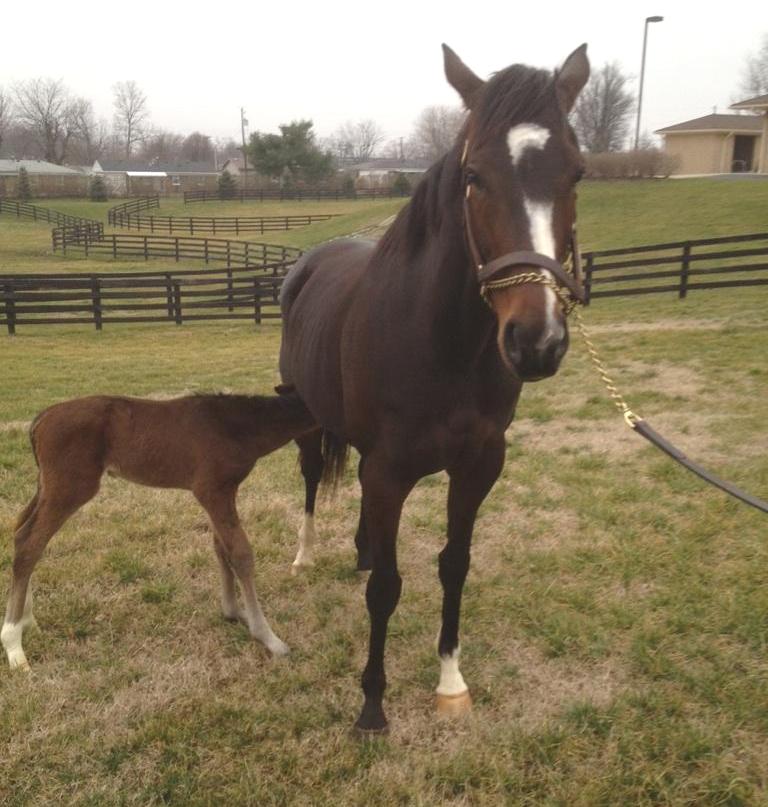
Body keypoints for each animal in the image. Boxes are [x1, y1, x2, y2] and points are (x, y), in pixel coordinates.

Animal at [1, 389, 316, 671]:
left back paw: (27, 621)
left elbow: (221, 548)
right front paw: (270, 639)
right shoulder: (212, 491)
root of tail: (41, 419)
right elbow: (240, 554)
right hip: (69, 487)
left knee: (21, 529)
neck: (234, 424)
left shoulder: (225, 493)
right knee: (30, 542)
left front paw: (233, 612)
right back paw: (14, 645)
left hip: (46, 486)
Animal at [279, 44, 590, 733]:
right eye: (474, 176)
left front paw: (450, 680)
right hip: (307, 418)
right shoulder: (391, 470)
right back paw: (305, 555)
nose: (536, 341)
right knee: (312, 479)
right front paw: (372, 704)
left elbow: (453, 565)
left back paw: (361, 549)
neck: (442, 344)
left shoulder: (477, 466)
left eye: (578, 173)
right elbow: (387, 589)